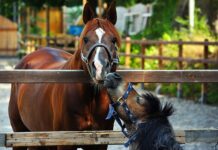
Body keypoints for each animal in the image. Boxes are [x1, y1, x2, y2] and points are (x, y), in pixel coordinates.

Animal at [8, 1, 121, 150]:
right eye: (85, 39)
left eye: (113, 40)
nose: (100, 68)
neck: (90, 100)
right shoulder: (65, 142)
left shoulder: (100, 144)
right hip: (19, 134)